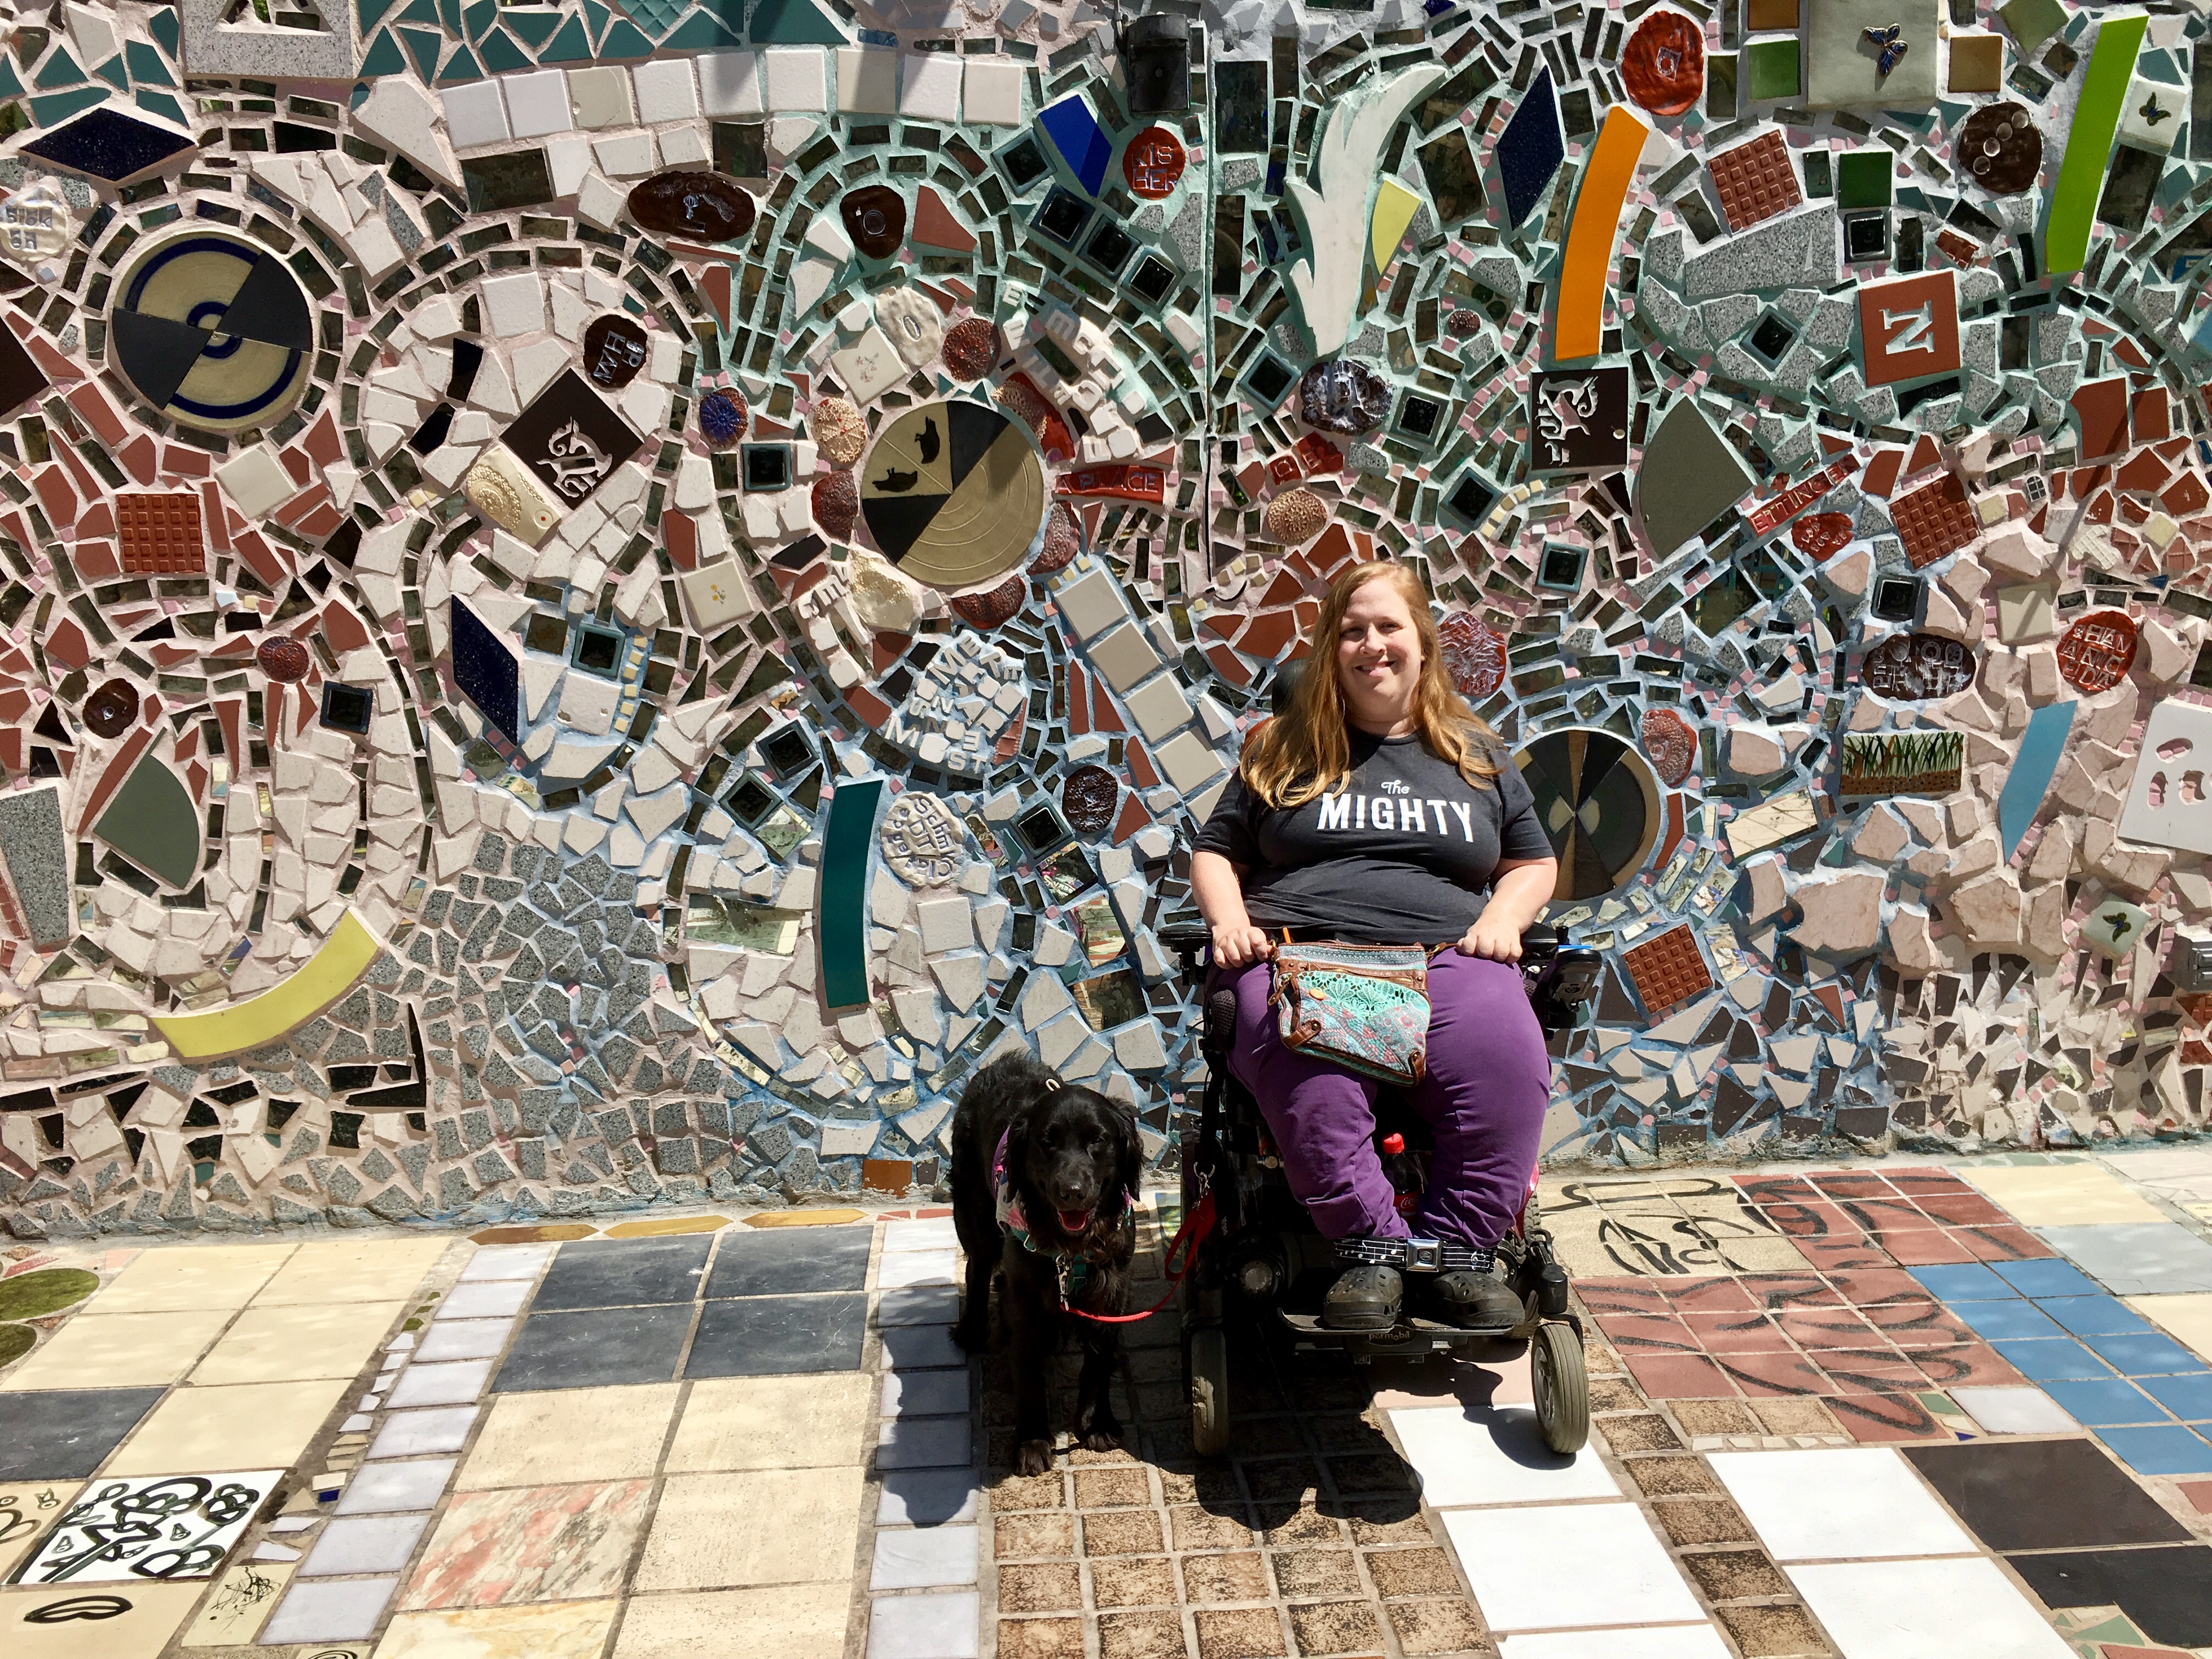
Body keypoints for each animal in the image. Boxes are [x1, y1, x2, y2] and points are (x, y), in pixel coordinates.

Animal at [951, 1057, 1141, 1477]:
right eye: (1047, 1142)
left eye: (1098, 1140)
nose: (1071, 1192)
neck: (1071, 1249)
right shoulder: (1024, 1295)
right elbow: (1029, 1373)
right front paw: (1033, 1442)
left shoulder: (1112, 1290)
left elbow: (1099, 1359)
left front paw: (1096, 1423)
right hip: (975, 1216)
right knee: (977, 1269)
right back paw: (972, 1328)